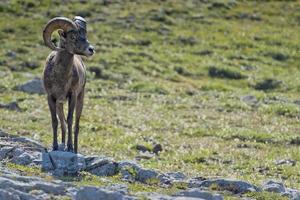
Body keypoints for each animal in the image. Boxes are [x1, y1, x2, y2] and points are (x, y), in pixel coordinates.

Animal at [42, 16, 94, 153]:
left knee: (76, 125)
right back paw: (62, 145)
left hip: (80, 99)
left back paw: (74, 149)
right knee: (63, 123)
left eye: (85, 35)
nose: (91, 49)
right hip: (60, 105)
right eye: (73, 37)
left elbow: (70, 120)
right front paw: (55, 147)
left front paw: (70, 147)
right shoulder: (51, 98)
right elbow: (55, 121)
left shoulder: (73, 96)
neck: (61, 77)